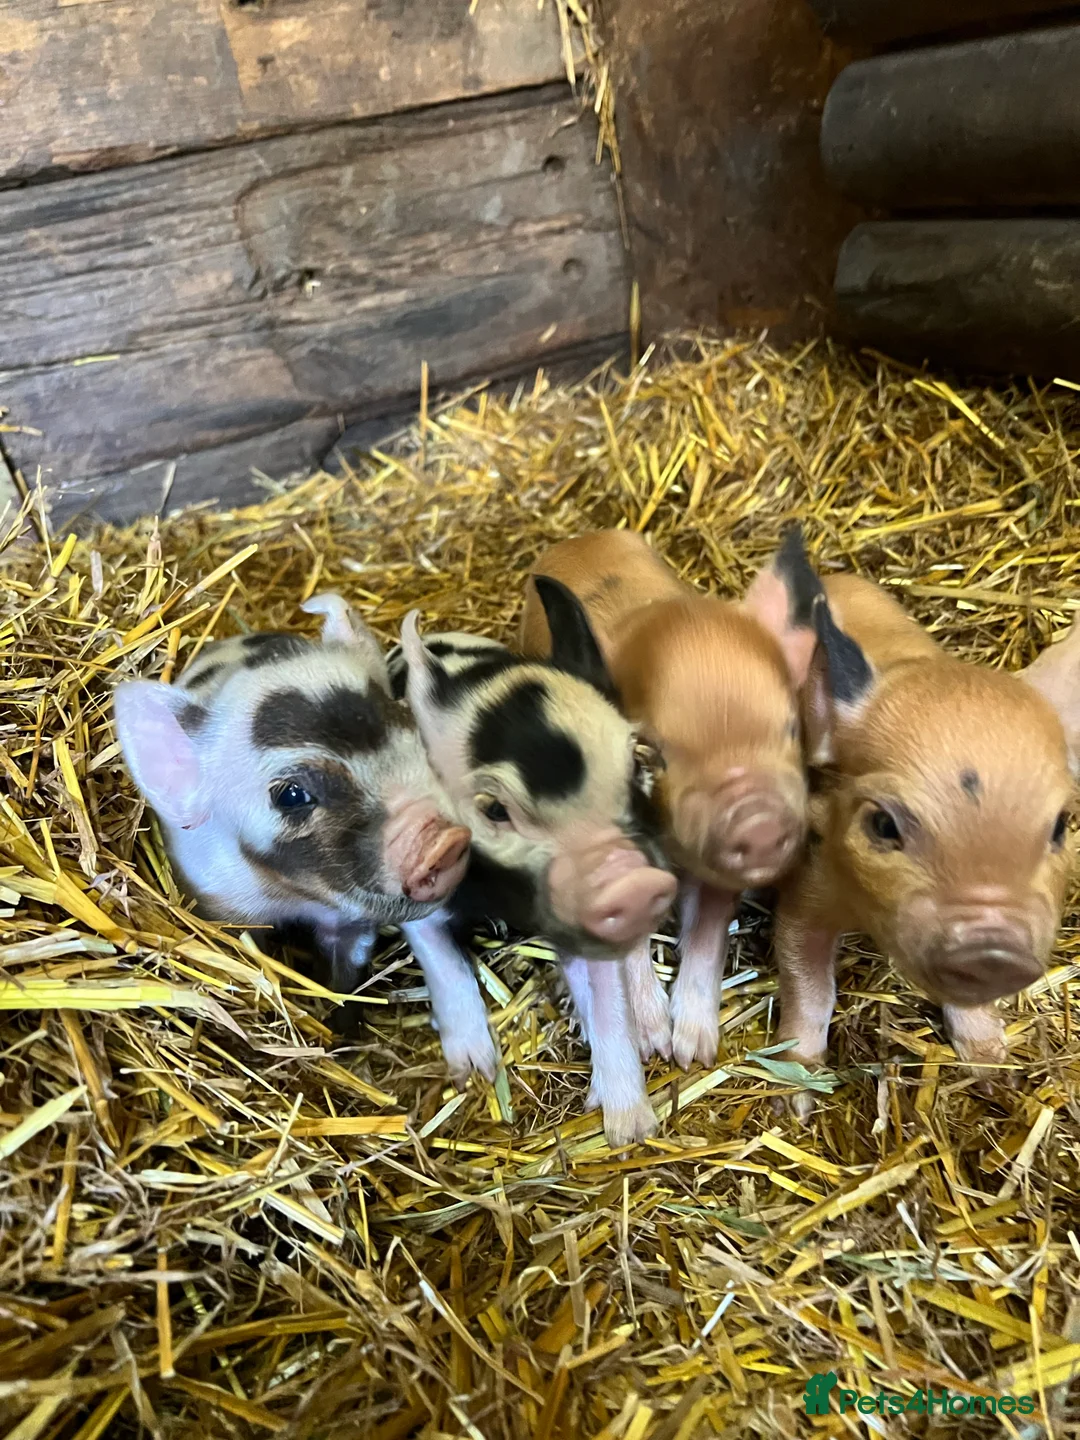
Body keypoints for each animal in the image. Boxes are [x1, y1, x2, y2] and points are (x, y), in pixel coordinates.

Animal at [113, 592, 499, 1085]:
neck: (292, 898)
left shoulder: (350, 923)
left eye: (408, 725)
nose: (444, 841)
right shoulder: (219, 903)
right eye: (291, 794)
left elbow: (347, 976)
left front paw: (343, 1040)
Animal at [387, 576, 678, 1146]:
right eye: (495, 809)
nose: (630, 881)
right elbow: (442, 959)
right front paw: (473, 1072)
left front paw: (630, 1132)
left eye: (635, 764)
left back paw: (656, 1032)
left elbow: (608, 1002)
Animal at [520, 528, 825, 1071]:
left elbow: (708, 933)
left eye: (792, 728)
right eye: (648, 752)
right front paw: (652, 1043)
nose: (759, 824)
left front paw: (692, 1052)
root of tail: (578, 538)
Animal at [775, 573, 1080, 1115]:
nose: (990, 947)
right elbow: (806, 983)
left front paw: (993, 1070)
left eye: (1062, 826)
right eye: (882, 824)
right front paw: (797, 1103)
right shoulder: (809, 885)